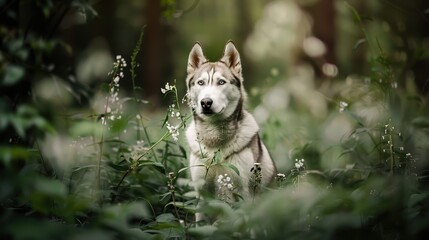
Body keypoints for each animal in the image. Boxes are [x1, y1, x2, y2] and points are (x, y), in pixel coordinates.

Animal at [183, 40, 274, 219]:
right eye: (201, 82)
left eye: (221, 82)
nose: (206, 102)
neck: (214, 140)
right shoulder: (201, 191)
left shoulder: (243, 191)